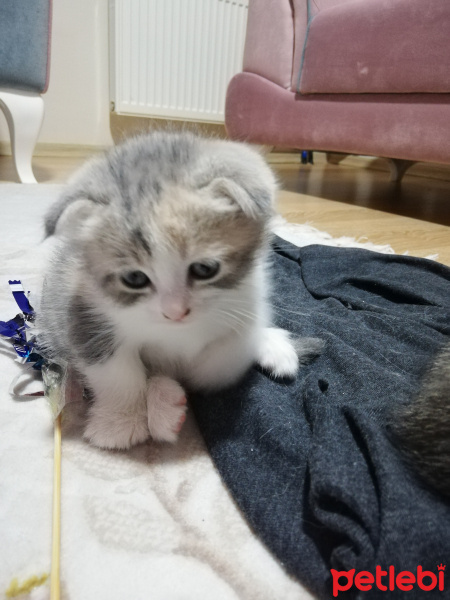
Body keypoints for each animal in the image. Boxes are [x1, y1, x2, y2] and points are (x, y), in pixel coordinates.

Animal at [38, 131, 320, 450]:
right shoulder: (79, 308)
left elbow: (216, 365)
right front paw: (120, 422)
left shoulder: (247, 299)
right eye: (134, 278)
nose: (176, 312)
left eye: (205, 269)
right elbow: (118, 373)